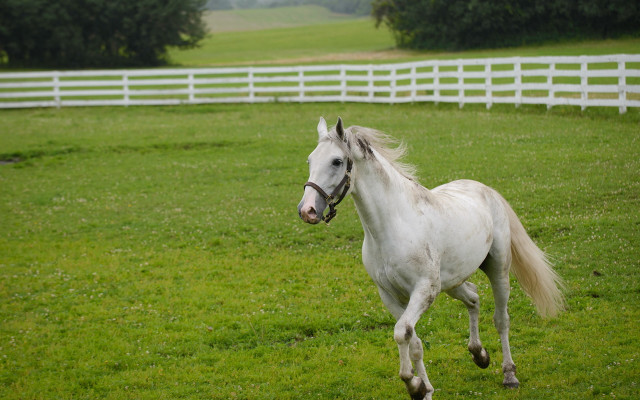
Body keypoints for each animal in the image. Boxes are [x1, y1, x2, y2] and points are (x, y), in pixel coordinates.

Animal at [297, 117, 564, 399]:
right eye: (310, 160)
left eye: (337, 161)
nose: (307, 210)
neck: (393, 225)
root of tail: (487, 190)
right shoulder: (390, 295)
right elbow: (413, 340)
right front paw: (424, 389)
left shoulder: (424, 290)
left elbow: (401, 333)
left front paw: (413, 384)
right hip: (453, 282)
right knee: (473, 298)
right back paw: (479, 354)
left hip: (497, 270)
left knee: (501, 319)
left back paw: (509, 374)